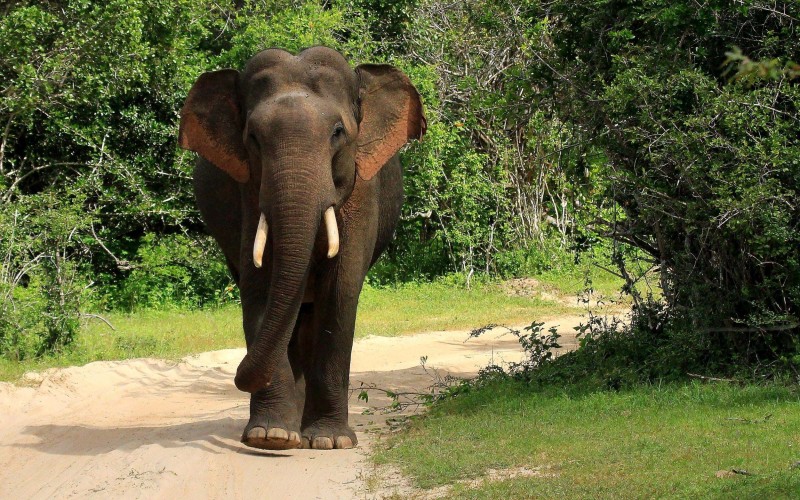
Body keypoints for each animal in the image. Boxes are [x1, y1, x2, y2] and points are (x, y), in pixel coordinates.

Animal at [178, 46, 426, 450]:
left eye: (338, 132)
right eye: (252, 138)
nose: (237, 375)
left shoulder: (361, 191)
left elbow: (339, 292)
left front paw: (329, 441)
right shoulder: (248, 192)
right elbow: (261, 289)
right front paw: (270, 437)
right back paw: (288, 430)